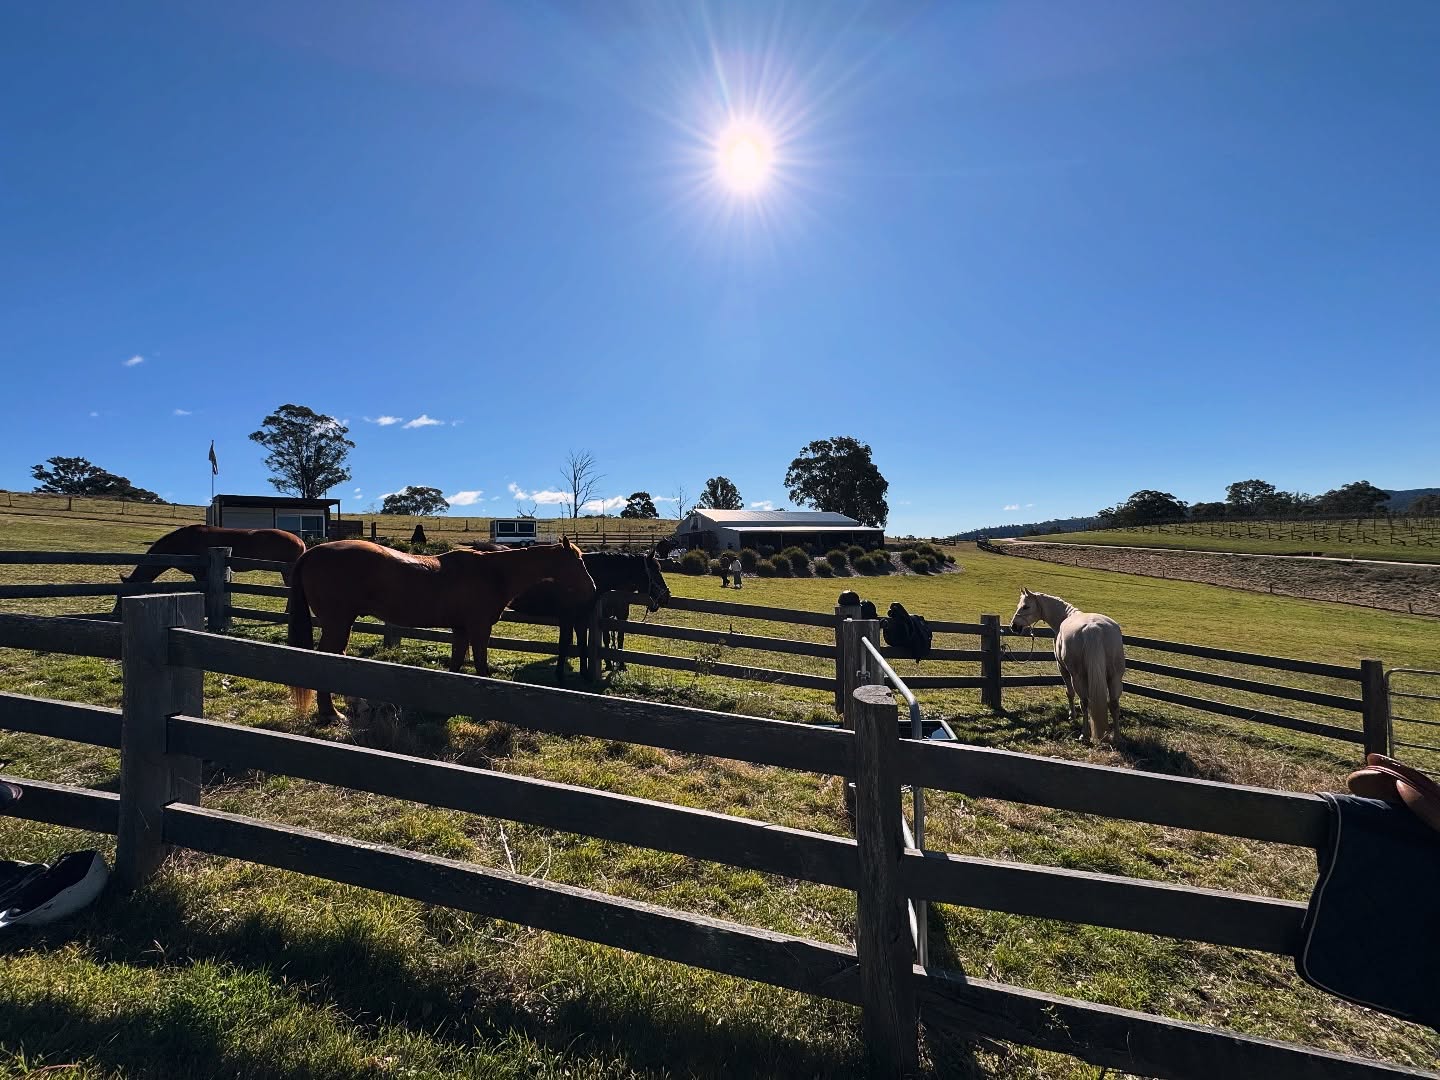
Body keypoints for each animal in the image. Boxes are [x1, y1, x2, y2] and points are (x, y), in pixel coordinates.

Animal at [286, 538, 595, 720]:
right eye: (579, 561)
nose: (592, 589)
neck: (493, 573)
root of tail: (312, 553)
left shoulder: (461, 629)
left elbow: (456, 667)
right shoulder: (479, 629)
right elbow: (481, 667)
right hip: (338, 624)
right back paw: (331, 714)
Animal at [508, 549, 670, 682]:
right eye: (655, 571)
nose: (666, 596)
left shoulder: (583, 618)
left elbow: (583, 643)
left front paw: (585, 673)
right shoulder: (568, 618)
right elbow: (565, 643)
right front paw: (560, 675)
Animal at [1008, 587, 1125, 744]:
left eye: (1025, 606)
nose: (1014, 626)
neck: (1065, 616)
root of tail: (1093, 628)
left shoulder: (1062, 669)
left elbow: (1070, 693)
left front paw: (1072, 715)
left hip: (1078, 677)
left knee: (1085, 702)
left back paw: (1084, 735)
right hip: (1115, 677)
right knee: (1113, 704)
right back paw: (1117, 738)